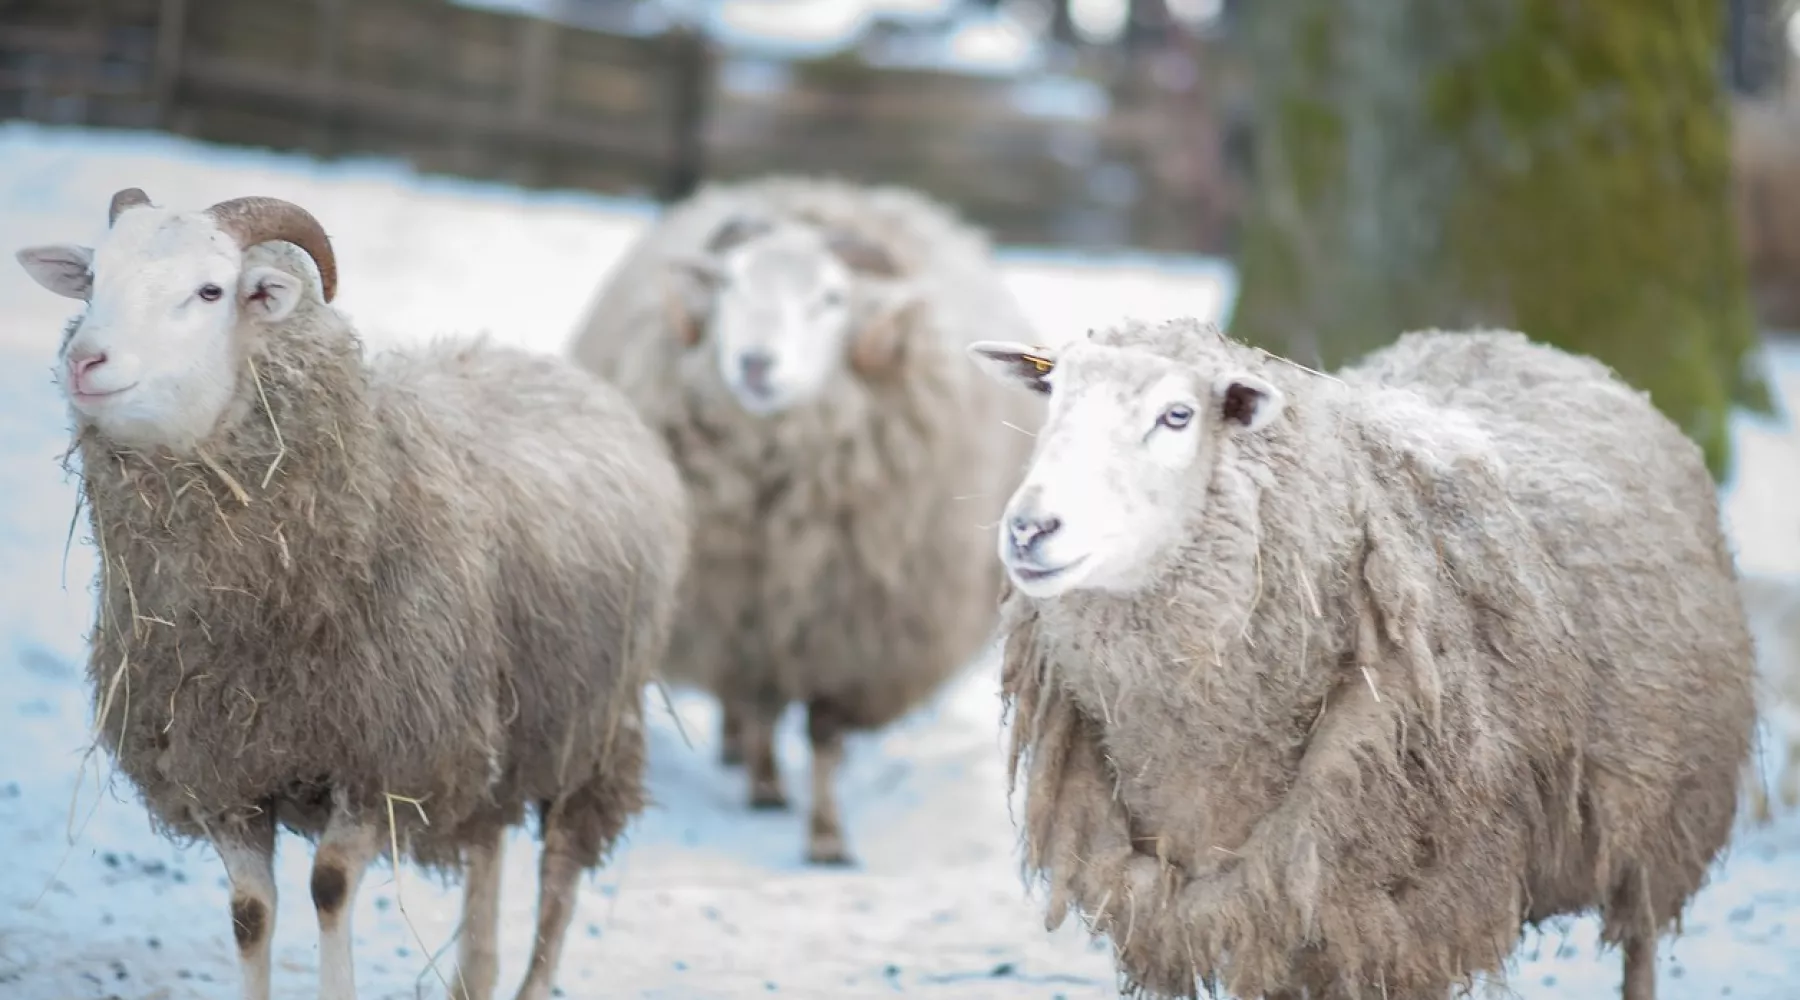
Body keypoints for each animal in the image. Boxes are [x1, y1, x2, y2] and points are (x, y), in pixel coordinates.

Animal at [14, 187, 687, 1000]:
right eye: (91, 281)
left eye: (210, 291)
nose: (85, 360)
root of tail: (537, 360)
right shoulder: (225, 771)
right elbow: (250, 912)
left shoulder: (384, 760)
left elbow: (330, 885)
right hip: (496, 734)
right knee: (489, 846)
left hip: (590, 731)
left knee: (559, 880)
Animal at [568, 175, 1051, 863]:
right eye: (730, 284)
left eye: (831, 299)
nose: (754, 363)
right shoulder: (739, 609)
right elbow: (761, 705)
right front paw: (766, 786)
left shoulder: (849, 629)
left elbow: (823, 732)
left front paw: (826, 837)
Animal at [972, 318, 1756, 1000]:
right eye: (1053, 397)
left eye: (1176, 415)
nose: (1029, 528)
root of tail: (1520, 341)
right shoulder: (1264, 908)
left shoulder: (1411, 917)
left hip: (1662, 818)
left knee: (1642, 944)